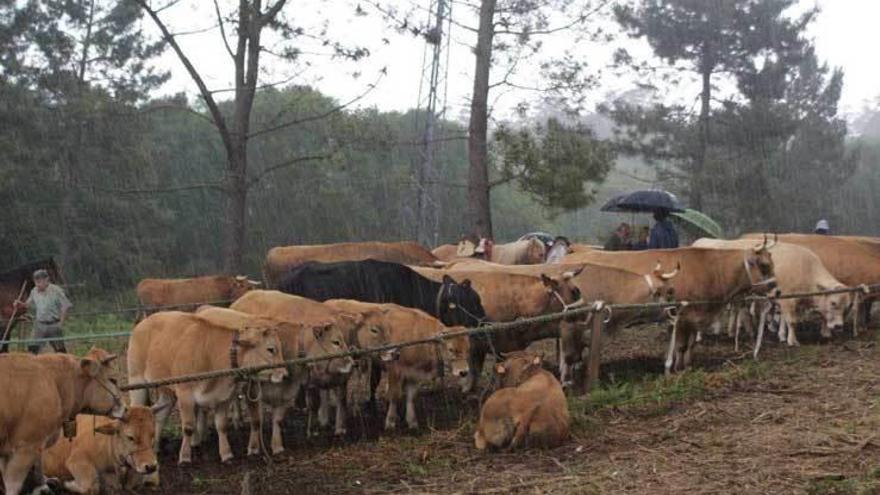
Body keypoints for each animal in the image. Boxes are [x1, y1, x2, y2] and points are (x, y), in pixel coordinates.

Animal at [125, 312, 286, 466]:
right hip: (136, 380)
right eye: (271, 349)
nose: (284, 374)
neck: (210, 353)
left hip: (167, 390)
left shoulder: (224, 397)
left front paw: (226, 455)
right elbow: (188, 427)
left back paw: (155, 448)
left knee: (160, 414)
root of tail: (144, 322)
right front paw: (184, 457)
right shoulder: (185, 393)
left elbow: (222, 425)